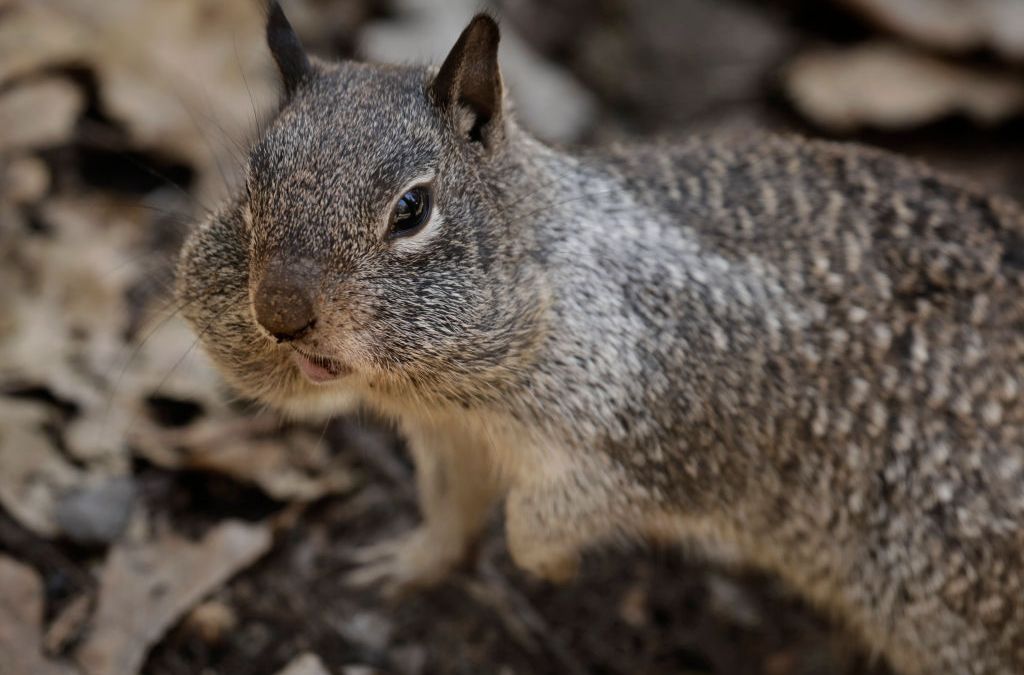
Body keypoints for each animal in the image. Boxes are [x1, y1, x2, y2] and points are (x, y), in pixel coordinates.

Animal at [175, 3, 1024, 673]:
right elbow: (449, 510)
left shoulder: (648, 445)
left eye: (412, 209)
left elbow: (536, 519)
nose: (280, 313)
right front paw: (404, 563)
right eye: (252, 181)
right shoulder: (448, 440)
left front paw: (549, 566)